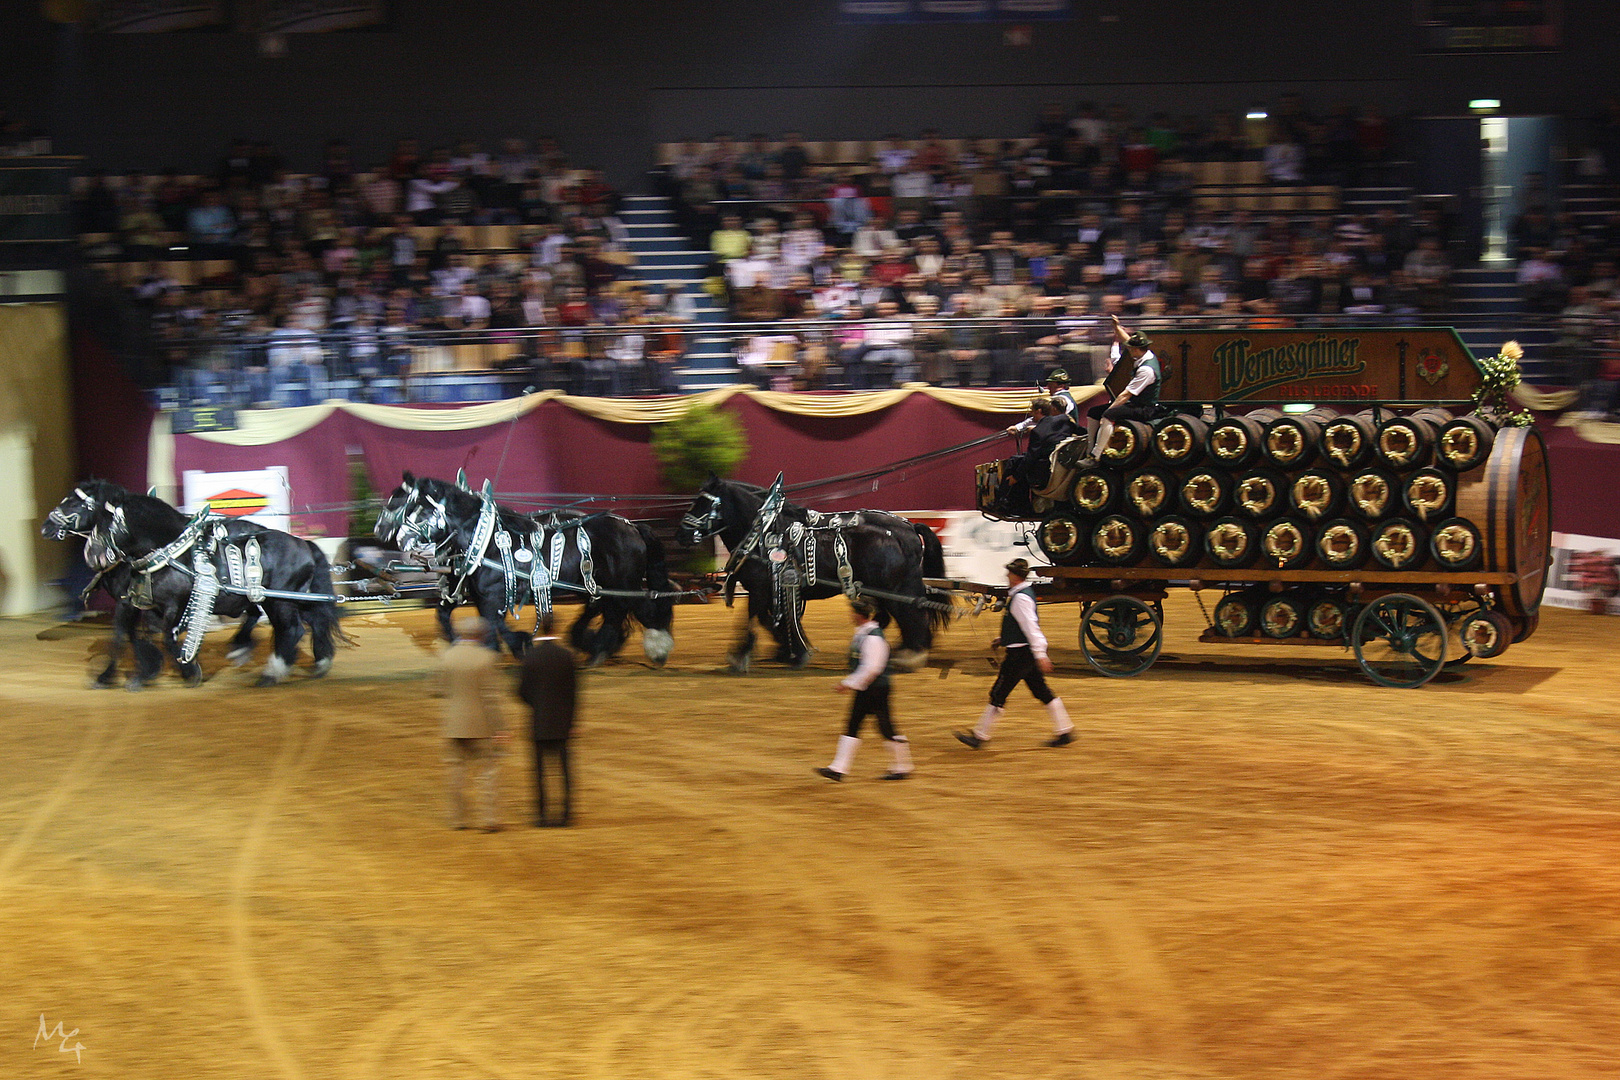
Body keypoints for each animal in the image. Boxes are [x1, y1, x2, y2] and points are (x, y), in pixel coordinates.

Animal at [43, 485, 338, 689]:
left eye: (76, 504)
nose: (46, 527)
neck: (169, 552)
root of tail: (304, 544)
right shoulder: (143, 602)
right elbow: (134, 636)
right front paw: (140, 672)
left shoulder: (164, 603)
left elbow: (158, 637)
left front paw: (187, 671)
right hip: (294, 597)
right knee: (314, 621)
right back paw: (317, 662)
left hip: (279, 601)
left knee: (292, 630)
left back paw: (270, 672)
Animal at [374, 472, 677, 667]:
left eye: (411, 506)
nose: (383, 531)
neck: (485, 540)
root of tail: (632, 525)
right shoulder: (476, 593)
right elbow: (454, 616)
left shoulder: (492, 595)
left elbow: (493, 624)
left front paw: (515, 646)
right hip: (602, 585)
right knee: (614, 612)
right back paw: (597, 648)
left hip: (624, 583)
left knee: (634, 610)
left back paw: (635, 650)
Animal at [680, 476, 952, 670]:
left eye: (704, 502)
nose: (681, 532)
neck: (762, 534)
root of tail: (908, 527)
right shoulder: (773, 590)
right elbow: (772, 621)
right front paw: (792, 652)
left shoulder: (759, 589)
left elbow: (749, 620)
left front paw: (739, 656)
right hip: (883, 590)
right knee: (894, 618)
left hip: (895, 589)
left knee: (913, 617)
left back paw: (910, 655)